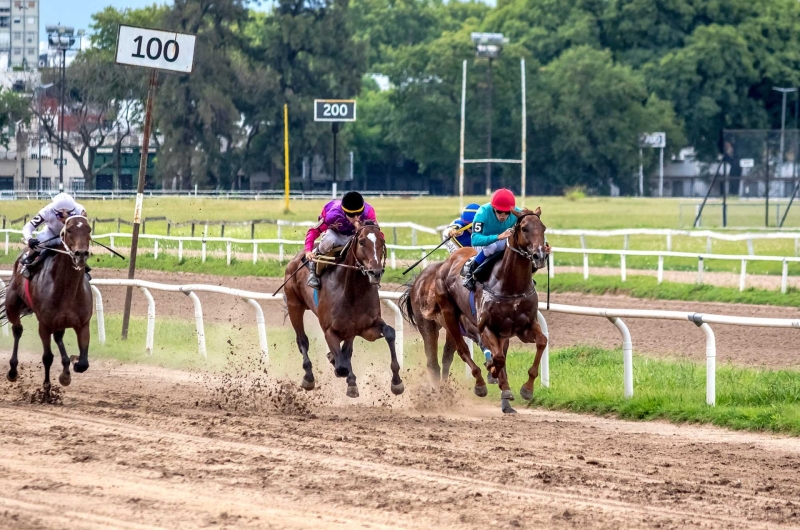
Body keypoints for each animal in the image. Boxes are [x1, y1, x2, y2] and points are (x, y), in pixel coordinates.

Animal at [0, 214, 93, 396]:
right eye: (69, 230)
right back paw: (13, 371)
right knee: (17, 330)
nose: (81, 254)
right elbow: (47, 357)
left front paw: (71, 367)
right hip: (12, 305)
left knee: (58, 337)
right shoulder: (44, 324)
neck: (67, 290)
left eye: (89, 229)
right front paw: (47, 390)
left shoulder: (83, 324)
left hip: (59, 323)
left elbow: (83, 363)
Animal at [282, 221, 406, 398]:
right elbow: (342, 366)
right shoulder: (330, 330)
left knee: (346, 349)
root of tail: (295, 260)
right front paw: (343, 372)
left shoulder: (365, 326)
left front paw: (396, 382)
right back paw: (309, 376)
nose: (375, 273)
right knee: (302, 340)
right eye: (361, 242)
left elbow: (389, 332)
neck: (352, 292)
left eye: (382, 242)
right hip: (295, 305)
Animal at [400, 206, 552, 412]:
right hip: (438, 321)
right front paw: (494, 377)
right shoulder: (484, 328)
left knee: (448, 358)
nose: (540, 255)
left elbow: (541, 342)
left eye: (543, 228)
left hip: (451, 329)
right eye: (524, 228)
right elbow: (498, 358)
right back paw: (464, 388)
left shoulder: (523, 327)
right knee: (446, 357)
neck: (510, 285)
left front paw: (524, 390)